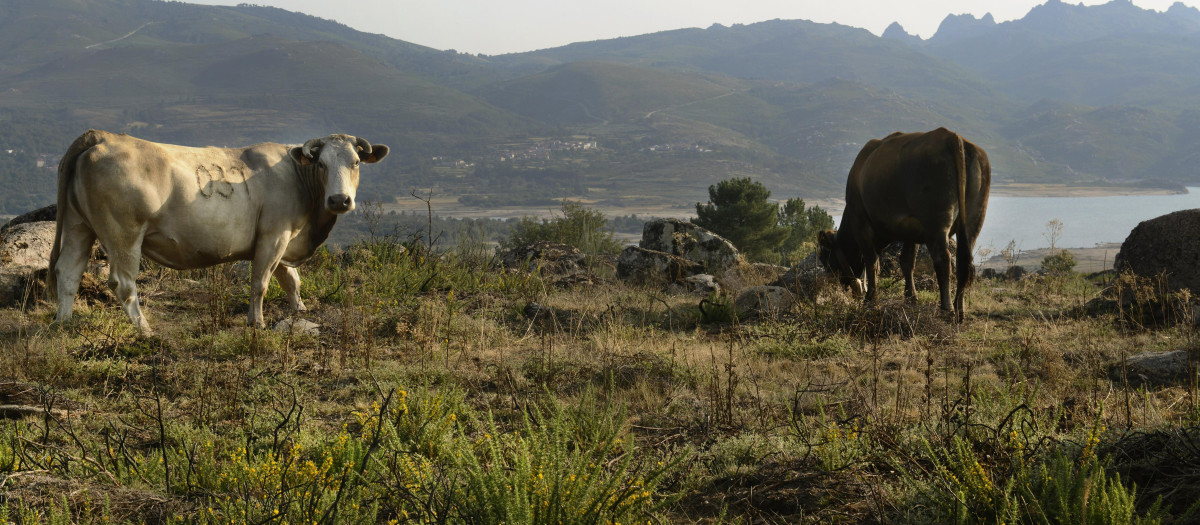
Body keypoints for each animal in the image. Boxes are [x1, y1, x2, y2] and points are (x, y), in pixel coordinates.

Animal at [47, 130, 388, 333]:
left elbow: (291, 280)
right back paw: (144, 330)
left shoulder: (283, 238)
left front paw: (300, 311)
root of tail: (102, 137)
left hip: (78, 225)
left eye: (356, 162)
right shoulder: (274, 235)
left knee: (68, 272)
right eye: (321, 164)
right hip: (124, 233)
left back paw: (63, 323)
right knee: (123, 282)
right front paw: (257, 323)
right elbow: (261, 282)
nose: (339, 200)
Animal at [817, 127, 990, 322]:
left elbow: (872, 261)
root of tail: (950, 136)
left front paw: (870, 300)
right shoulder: (912, 230)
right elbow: (907, 261)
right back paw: (960, 312)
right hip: (974, 218)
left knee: (944, 260)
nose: (836, 284)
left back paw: (946, 309)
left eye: (824, 257)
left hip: (936, 222)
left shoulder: (860, 221)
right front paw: (910, 297)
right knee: (963, 263)